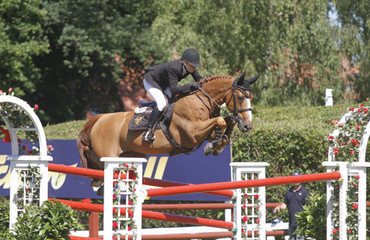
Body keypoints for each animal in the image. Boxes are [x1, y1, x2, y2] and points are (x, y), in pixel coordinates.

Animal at [76, 72, 258, 185]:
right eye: (240, 97)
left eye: (251, 97)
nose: (248, 125)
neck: (201, 99)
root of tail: (98, 119)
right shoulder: (192, 133)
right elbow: (221, 121)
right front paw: (213, 146)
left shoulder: (204, 131)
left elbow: (226, 123)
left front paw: (218, 144)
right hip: (108, 156)